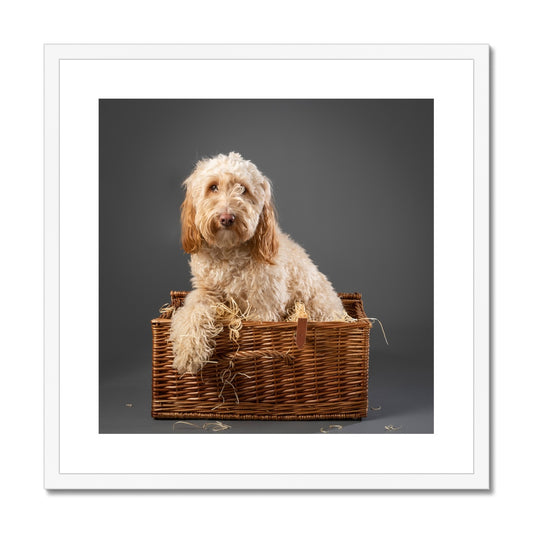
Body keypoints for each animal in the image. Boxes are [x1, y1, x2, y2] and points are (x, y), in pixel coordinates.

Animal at [170, 152, 344, 372]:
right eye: (213, 187)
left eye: (243, 189)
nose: (227, 218)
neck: (229, 252)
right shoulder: (205, 292)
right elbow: (192, 313)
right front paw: (188, 352)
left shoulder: (264, 307)